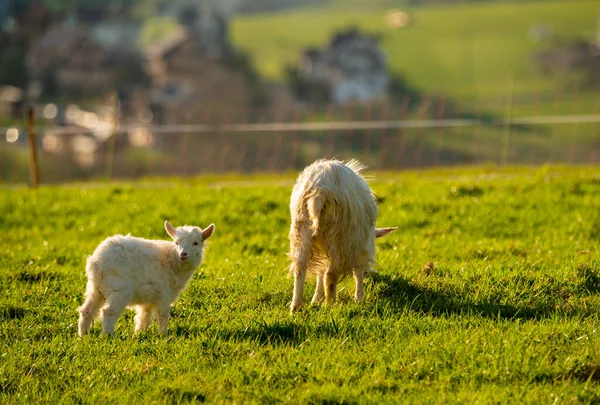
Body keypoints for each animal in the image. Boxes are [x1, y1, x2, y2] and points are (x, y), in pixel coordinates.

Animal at [77, 219, 213, 336]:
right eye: (176, 243)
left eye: (195, 243)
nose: (183, 254)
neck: (172, 261)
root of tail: (97, 262)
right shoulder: (164, 294)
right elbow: (162, 317)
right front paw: (164, 336)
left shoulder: (148, 299)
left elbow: (144, 317)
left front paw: (139, 335)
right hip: (119, 288)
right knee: (108, 312)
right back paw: (108, 337)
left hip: (96, 288)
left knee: (86, 310)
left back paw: (83, 337)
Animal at [288, 159, 396, 312]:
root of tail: (318, 192)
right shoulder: (360, 247)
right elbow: (358, 272)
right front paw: (359, 298)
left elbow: (320, 272)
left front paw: (316, 300)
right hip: (341, 238)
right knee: (330, 275)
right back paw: (330, 304)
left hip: (301, 230)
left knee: (299, 268)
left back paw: (296, 307)